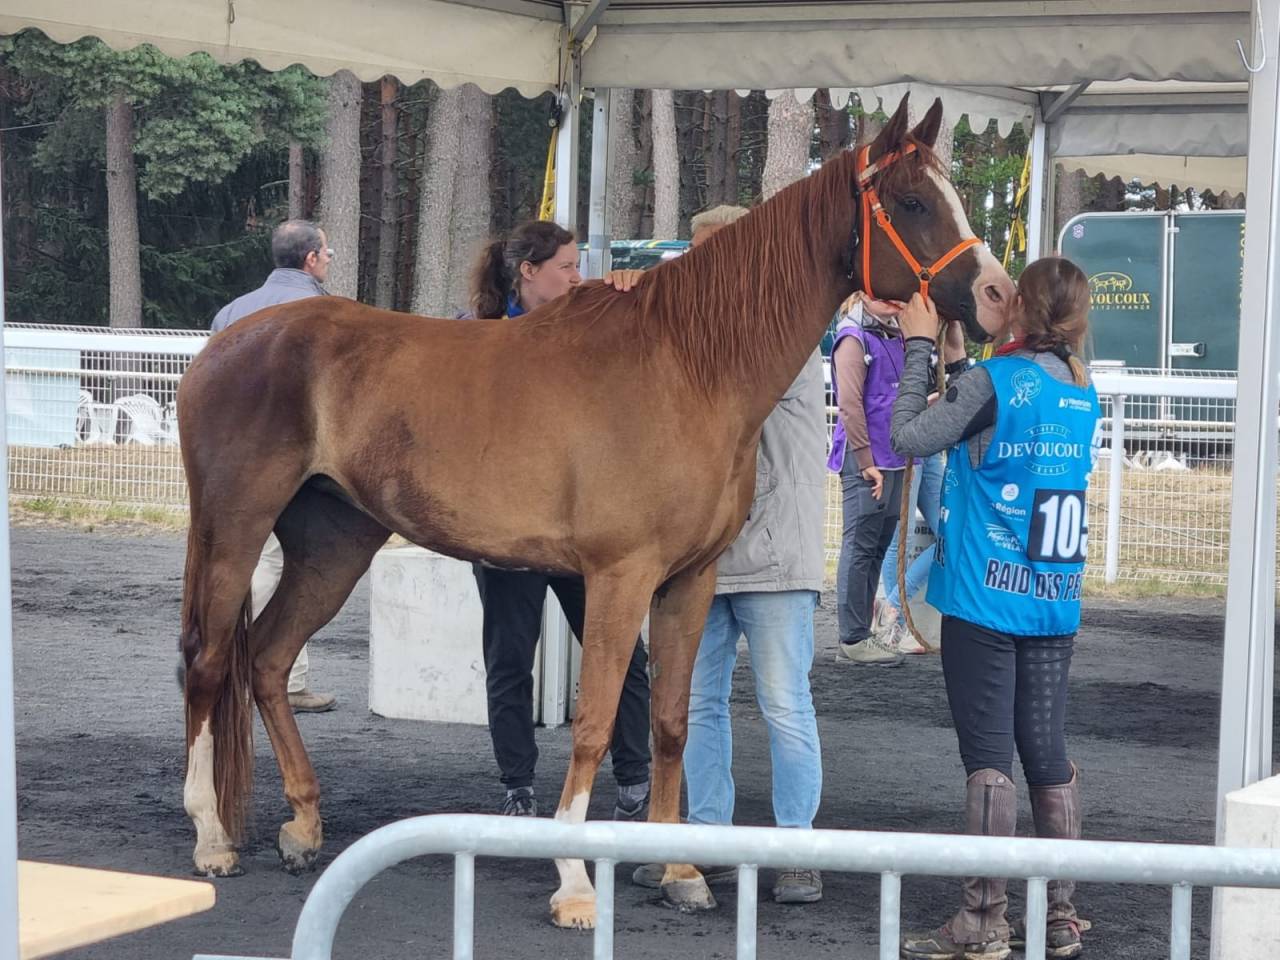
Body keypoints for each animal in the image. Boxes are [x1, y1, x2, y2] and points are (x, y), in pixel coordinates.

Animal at [177, 93, 1015, 929]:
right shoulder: (620, 577)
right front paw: (577, 884)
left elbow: (670, 722)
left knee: (268, 658)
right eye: (912, 201)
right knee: (210, 661)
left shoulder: (689, 581)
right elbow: (595, 723)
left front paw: (681, 871)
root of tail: (225, 344)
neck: (689, 366)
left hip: (335, 542)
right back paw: (212, 839)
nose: (998, 296)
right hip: (235, 528)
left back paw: (303, 825)